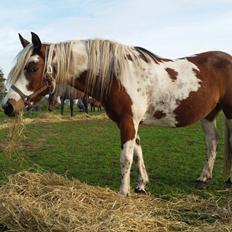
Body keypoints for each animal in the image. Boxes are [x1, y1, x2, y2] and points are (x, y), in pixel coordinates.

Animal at [1, 32, 232, 196]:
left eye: (32, 67)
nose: (8, 106)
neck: (117, 74)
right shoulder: (129, 122)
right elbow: (138, 153)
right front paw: (141, 186)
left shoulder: (128, 121)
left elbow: (126, 158)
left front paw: (123, 192)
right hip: (209, 114)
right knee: (213, 142)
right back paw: (203, 178)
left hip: (228, 112)